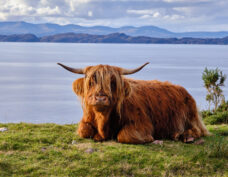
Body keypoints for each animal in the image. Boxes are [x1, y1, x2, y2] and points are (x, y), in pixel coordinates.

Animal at [58, 62, 209, 144]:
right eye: (91, 82)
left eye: (113, 82)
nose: (100, 98)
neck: (103, 121)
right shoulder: (86, 120)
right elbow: (84, 130)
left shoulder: (142, 123)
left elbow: (123, 135)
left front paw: (150, 139)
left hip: (190, 116)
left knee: (198, 130)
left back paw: (183, 136)